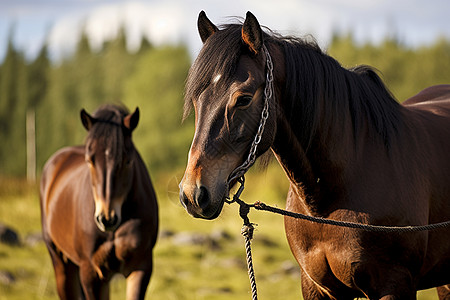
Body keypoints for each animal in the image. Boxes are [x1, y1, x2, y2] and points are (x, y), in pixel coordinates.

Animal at [40, 105, 159, 300]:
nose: (107, 219)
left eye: (127, 161)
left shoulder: (140, 267)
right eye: (90, 160)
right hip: (61, 263)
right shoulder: (91, 273)